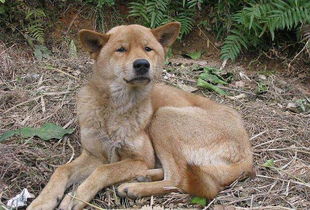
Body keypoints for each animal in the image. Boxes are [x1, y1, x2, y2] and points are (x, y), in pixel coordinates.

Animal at [27, 22, 254, 209]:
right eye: (121, 49)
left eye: (148, 48)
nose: (142, 64)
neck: (116, 108)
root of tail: (247, 154)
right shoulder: (95, 155)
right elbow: (61, 170)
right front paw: (43, 201)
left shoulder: (140, 159)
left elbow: (103, 171)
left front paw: (76, 197)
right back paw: (142, 178)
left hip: (163, 117)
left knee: (178, 179)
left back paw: (135, 188)